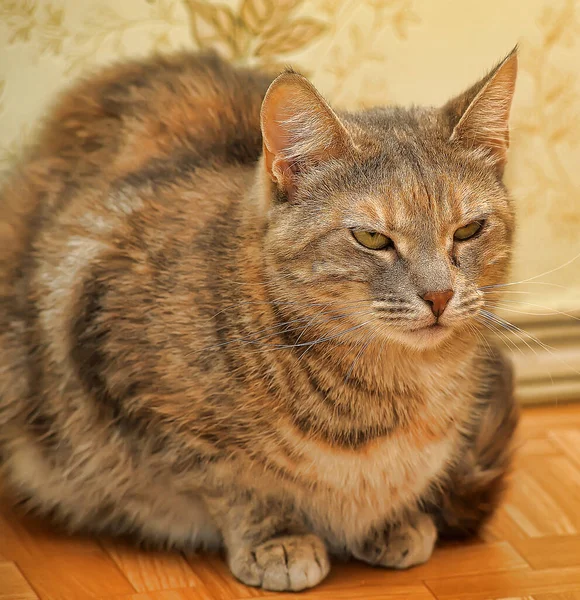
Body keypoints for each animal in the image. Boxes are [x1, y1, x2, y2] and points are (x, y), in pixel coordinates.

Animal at [0, 49, 520, 592]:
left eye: (469, 230)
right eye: (371, 238)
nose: (439, 295)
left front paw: (392, 520)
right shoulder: (135, 387)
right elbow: (233, 483)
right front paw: (277, 537)